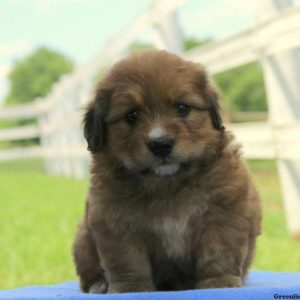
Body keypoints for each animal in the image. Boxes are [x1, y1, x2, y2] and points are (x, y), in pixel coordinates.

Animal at [72, 50, 260, 294]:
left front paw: (219, 281)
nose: (160, 144)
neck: (167, 184)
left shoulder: (224, 213)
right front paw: (131, 287)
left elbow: (218, 251)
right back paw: (99, 284)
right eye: (131, 115)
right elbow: (127, 260)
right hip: (83, 241)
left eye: (182, 108)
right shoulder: (116, 223)